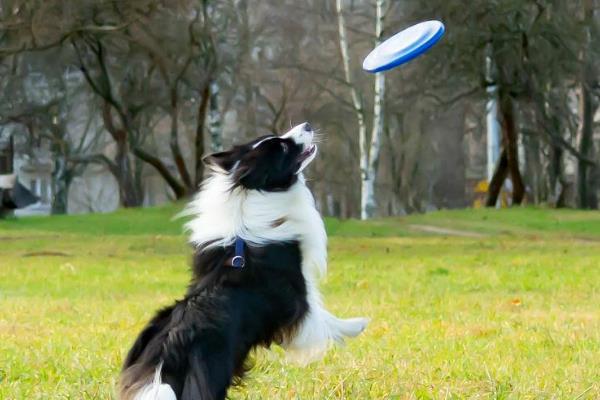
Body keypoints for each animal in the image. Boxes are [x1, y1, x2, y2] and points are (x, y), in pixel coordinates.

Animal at [119, 122, 368, 400]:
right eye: (282, 148)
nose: (307, 125)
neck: (248, 194)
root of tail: (168, 348)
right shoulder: (296, 300)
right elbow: (323, 318)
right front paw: (357, 325)